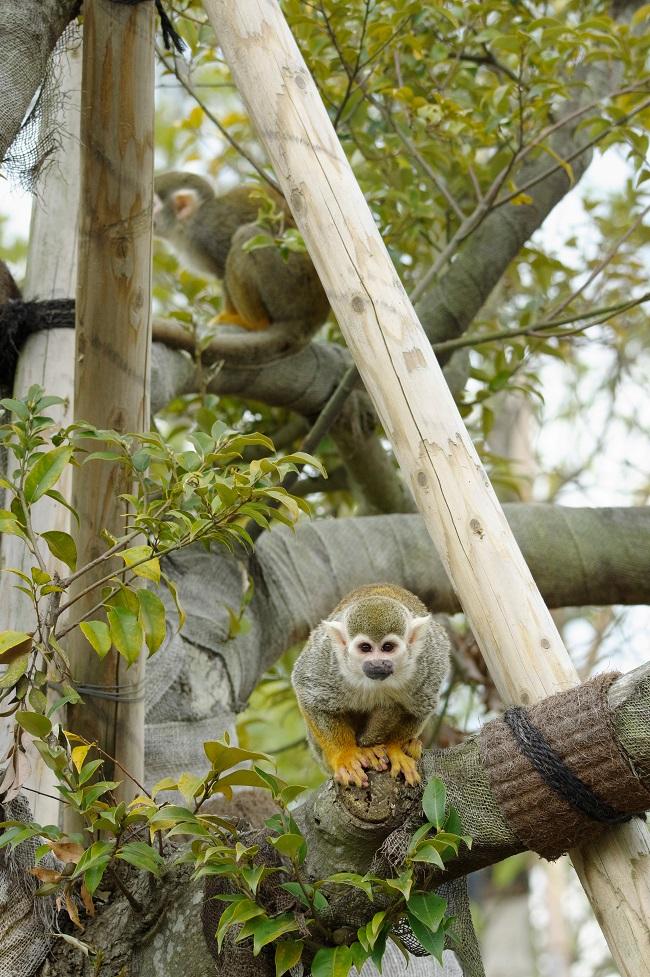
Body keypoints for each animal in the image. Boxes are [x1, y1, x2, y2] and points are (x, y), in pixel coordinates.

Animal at [153, 172, 330, 362]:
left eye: (153, 205)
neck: (187, 225)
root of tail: (313, 318)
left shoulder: (208, 232)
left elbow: (224, 270)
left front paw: (229, 314)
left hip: (292, 288)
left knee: (246, 235)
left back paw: (254, 323)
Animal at [292, 584, 448, 788]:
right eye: (365, 648)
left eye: (388, 647)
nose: (377, 664)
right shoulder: (328, 659)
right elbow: (308, 691)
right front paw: (345, 755)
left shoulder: (428, 662)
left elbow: (420, 708)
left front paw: (395, 747)